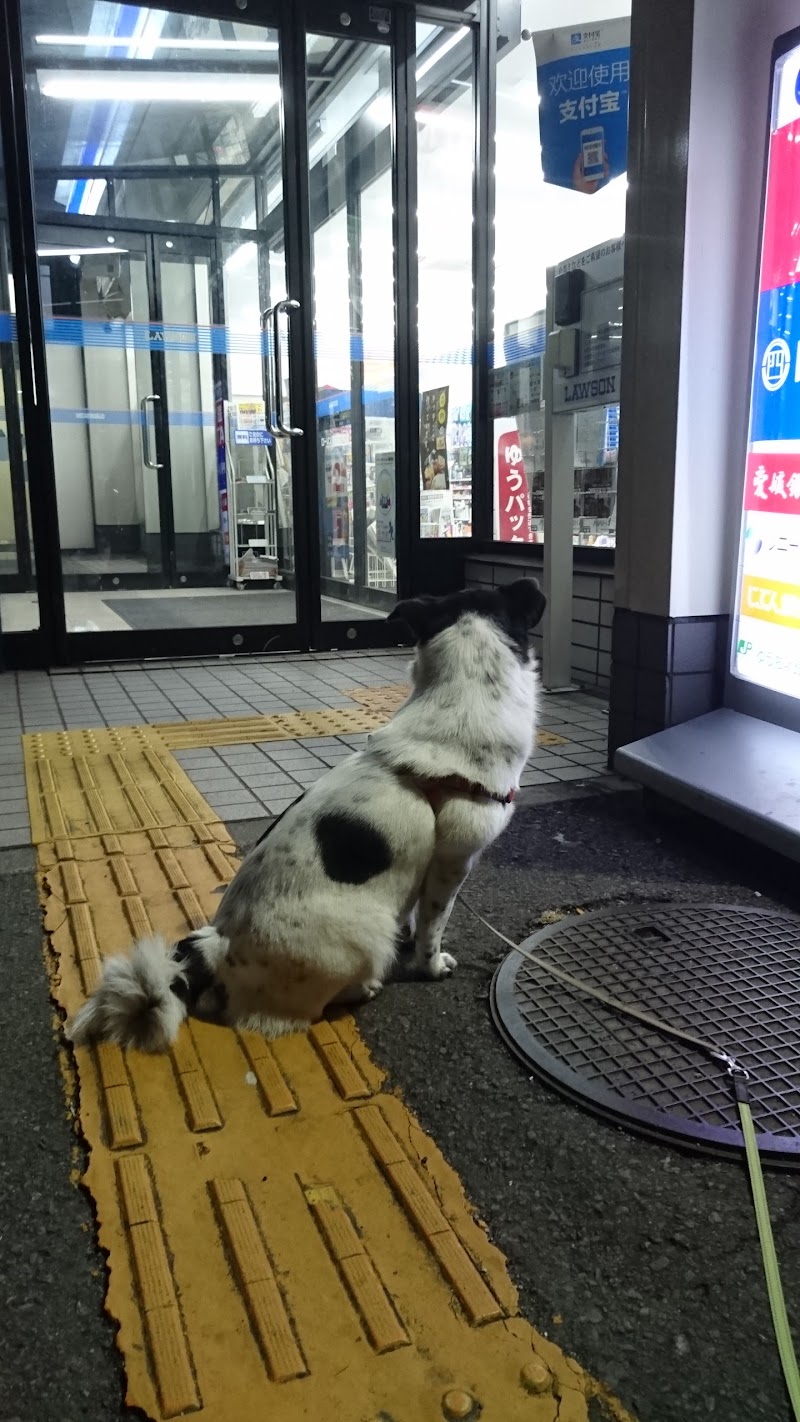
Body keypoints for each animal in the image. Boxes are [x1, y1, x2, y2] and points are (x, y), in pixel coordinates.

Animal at [67, 577, 545, 1057]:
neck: (461, 699)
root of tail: (220, 953)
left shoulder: (426, 867)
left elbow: (413, 911)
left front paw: (407, 931)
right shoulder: (454, 861)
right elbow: (433, 927)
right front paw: (432, 965)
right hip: (365, 934)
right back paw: (365, 987)